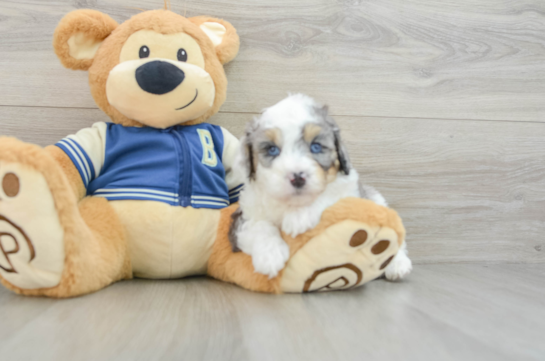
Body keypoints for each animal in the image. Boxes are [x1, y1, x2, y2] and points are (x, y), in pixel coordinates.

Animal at [227, 93, 410, 278]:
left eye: (316, 146)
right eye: (272, 150)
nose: (297, 178)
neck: (290, 204)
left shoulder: (349, 192)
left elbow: (328, 195)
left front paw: (299, 217)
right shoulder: (242, 218)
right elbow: (258, 226)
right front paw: (270, 256)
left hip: (376, 199)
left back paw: (398, 264)